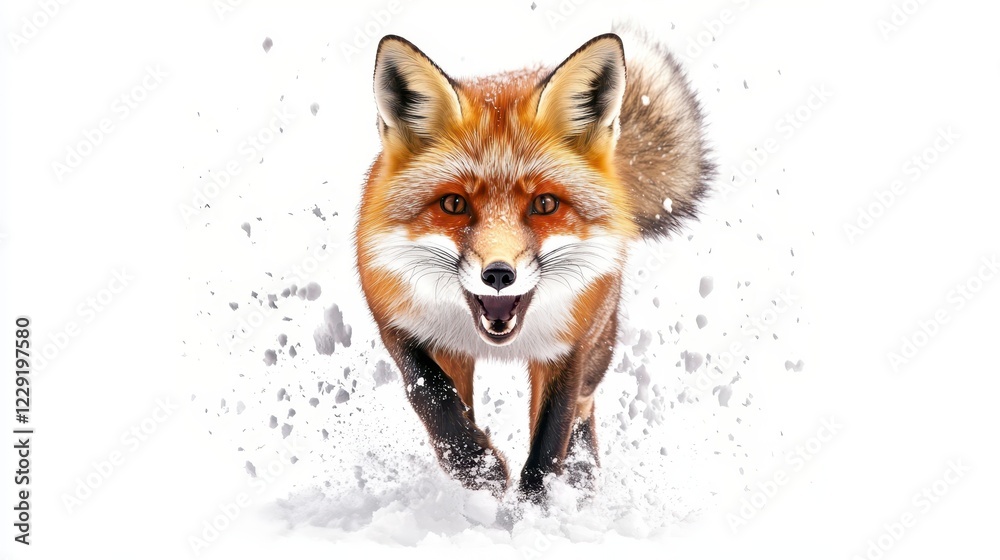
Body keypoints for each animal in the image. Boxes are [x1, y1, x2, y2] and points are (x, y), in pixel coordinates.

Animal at [354, 24, 713, 501]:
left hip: (600, 338)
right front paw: (478, 470)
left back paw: (582, 477)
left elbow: (549, 441)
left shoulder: (569, 346)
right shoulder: (398, 323)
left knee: (584, 405)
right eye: (453, 204)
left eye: (544, 204)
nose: (498, 274)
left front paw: (533, 507)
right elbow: (433, 399)